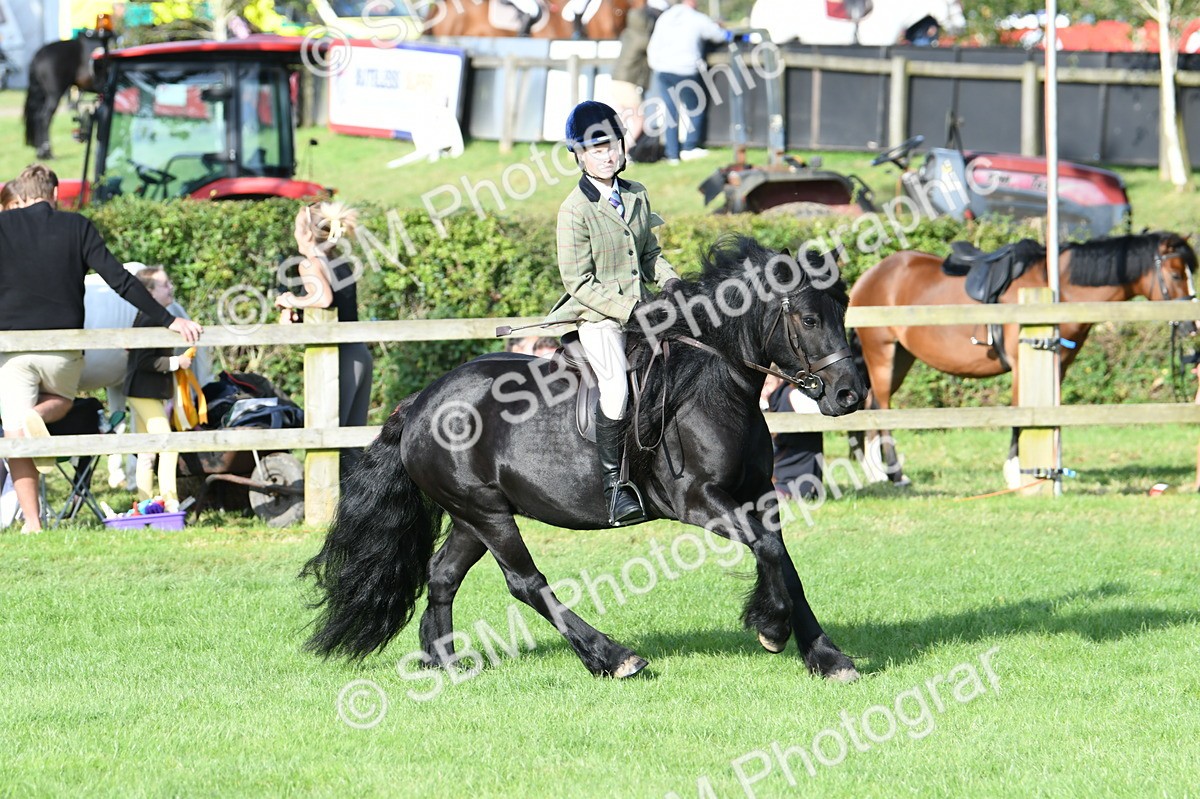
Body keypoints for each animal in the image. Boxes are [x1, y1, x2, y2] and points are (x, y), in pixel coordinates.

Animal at [302, 236, 867, 681]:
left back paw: (445, 664)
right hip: (486, 513)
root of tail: (420, 403)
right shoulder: (699, 500)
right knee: (526, 583)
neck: (712, 384)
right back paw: (612, 657)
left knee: (442, 575)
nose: (850, 395)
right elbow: (767, 549)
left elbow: (782, 558)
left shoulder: (757, 493)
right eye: (810, 319)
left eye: (843, 312)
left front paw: (826, 656)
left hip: (473, 515)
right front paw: (772, 628)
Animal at [849, 231, 1199, 485]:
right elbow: (1021, 415)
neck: (1058, 291)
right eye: (1175, 275)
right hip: (882, 355)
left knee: (871, 408)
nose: (1191, 326)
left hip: (901, 359)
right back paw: (896, 474)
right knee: (882, 409)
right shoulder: (1022, 366)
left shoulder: (1059, 366)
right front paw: (1016, 472)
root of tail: (869, 276)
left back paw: (876, 473)